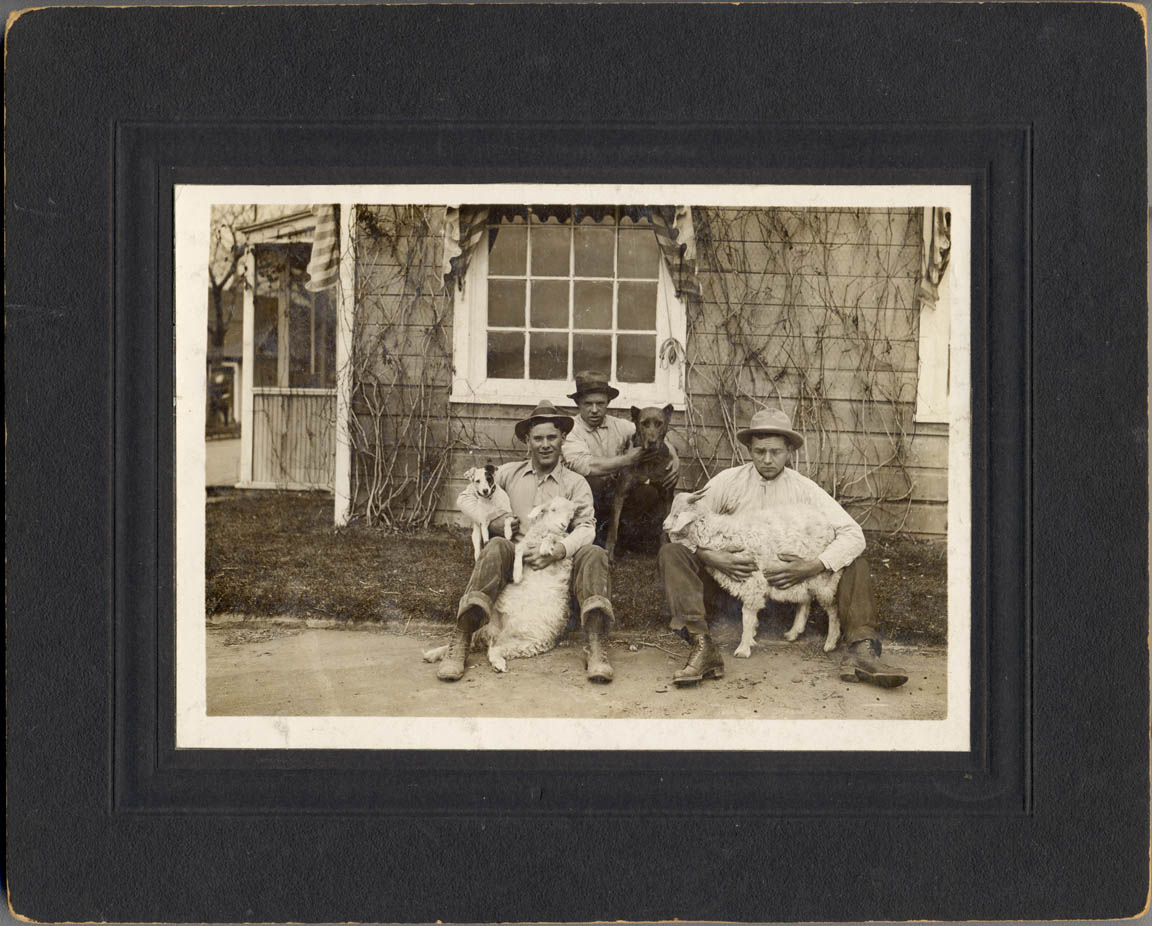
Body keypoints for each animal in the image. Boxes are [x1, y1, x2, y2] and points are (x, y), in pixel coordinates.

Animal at [426, 499, 580, 672]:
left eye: (571, 516)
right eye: (552, 509)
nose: (563, 525)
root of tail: (498, 634)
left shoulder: (562, 553)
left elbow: (555, 540)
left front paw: (546, 547)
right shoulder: (525, 545)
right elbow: (520, 551)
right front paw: (518, 574)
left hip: (528, 643)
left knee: (493, 650)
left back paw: (497, 664)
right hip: (491, 624)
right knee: (475, 639)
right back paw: (437, 654)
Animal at [603, 405, 672, 564]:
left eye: (659, 423)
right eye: (644, 423)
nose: (652, 442)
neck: (649, 461)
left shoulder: (667, 495)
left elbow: (665, 528)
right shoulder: (620, 493)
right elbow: (613, 527)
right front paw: (609, 553)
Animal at [663, 492, 843, 658]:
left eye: (677, 515)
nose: (664, 525)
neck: (721, 534)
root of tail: (828, 524)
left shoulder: (752, 582)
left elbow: (747, 616)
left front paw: (743, 648)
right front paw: (751, 639)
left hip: (823, 577)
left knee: (833, 608)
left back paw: (830, 642)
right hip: (804, 578)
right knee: (805, 601)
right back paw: (794, 632)